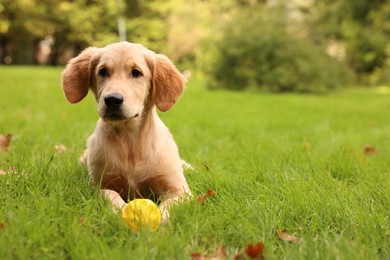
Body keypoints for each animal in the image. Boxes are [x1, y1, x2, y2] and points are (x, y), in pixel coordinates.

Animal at [61, 41, 192, 220]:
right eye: (103, 71)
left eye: (136, 73)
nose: (112, 100)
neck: (129, 139)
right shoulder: (98, 186)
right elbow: (111, 195)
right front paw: (122, 212)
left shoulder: (179, 190)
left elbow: (168, 206)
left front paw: (160, 219)